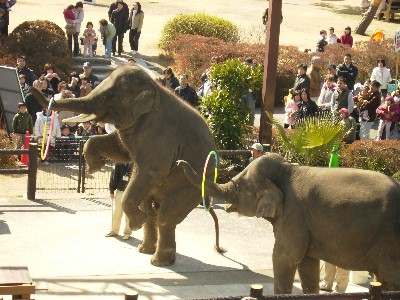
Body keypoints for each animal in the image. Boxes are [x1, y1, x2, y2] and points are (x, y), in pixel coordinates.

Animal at [29, 65, 223, 264]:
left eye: (105, 97)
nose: (31, 88)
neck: (154, 87)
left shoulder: (160, 134)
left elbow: (152, 171)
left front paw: (137, 224)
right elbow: (119, 148)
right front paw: (94, 167)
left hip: (191, 186)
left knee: (166, 216)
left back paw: (158, 260)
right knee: (152, 210)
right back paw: (145, 249)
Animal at [177, 154, 400, 294]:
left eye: (239, 186)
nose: (179, 162)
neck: (287, 168)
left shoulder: (294, 215)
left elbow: (285, 257)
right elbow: (308, 263)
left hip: (390, 244)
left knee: (391, 280)